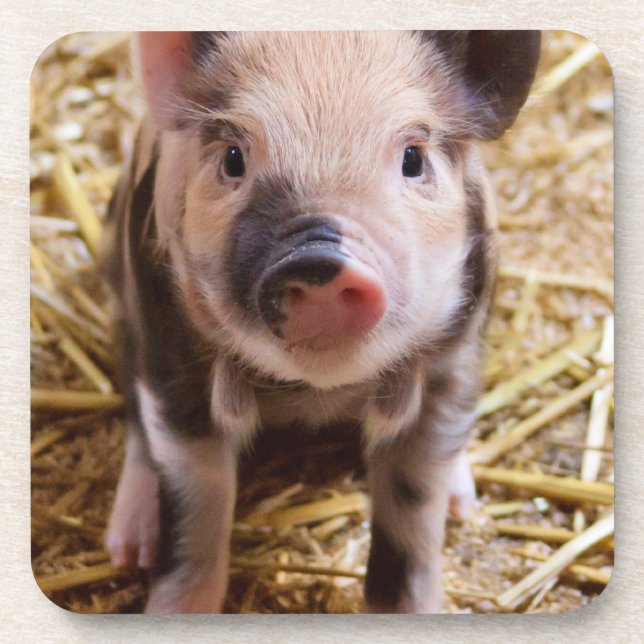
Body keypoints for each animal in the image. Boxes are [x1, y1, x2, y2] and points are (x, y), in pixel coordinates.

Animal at [104, 31, 540, 614]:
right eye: (234, 158)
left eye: (413, 158)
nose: (318, 259)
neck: (315, 393)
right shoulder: (171, 357)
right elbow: (196, 509)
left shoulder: (455, 360)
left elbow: (413, 513)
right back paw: (127, 549)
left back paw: (462, 506)